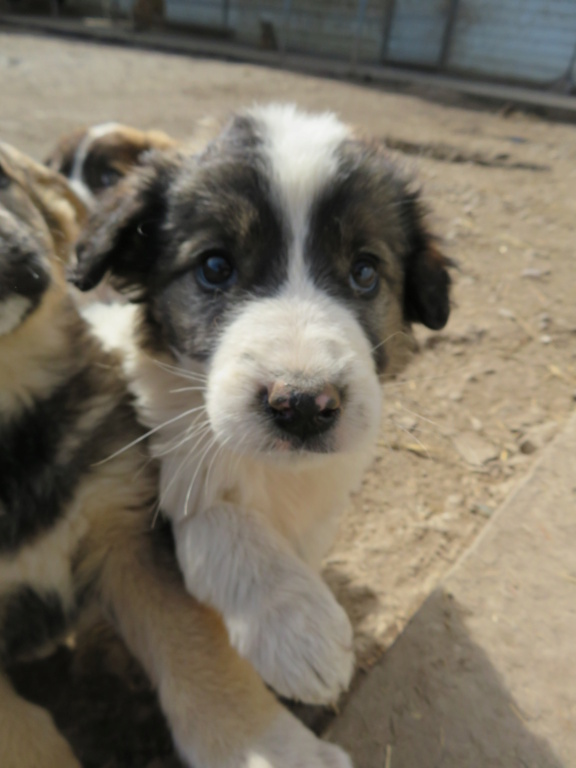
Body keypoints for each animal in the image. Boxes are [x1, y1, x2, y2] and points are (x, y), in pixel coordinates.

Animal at [72, 105, 450, 712]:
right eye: (215, 267)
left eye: (365, 272)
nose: (303, 405)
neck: (275, 473)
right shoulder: (129, 483)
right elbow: (210, 515)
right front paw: (296, 627)